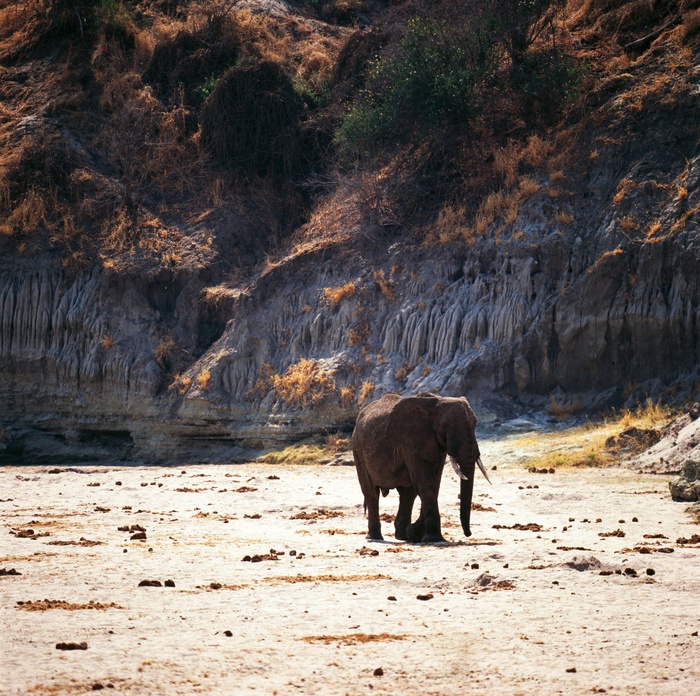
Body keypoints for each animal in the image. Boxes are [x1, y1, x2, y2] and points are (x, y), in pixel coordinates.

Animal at [352, 392, 490, 544]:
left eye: (475, 423)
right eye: (446, 425)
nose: (468, 534)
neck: (435, 403)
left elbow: (434, 482)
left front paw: (414, 534)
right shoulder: (409, 440)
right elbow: (426, 483)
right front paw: (432, 539)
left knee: (408, 494)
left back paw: (402, 536)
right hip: (358, 449)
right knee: (371, 492)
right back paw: (376, 537)